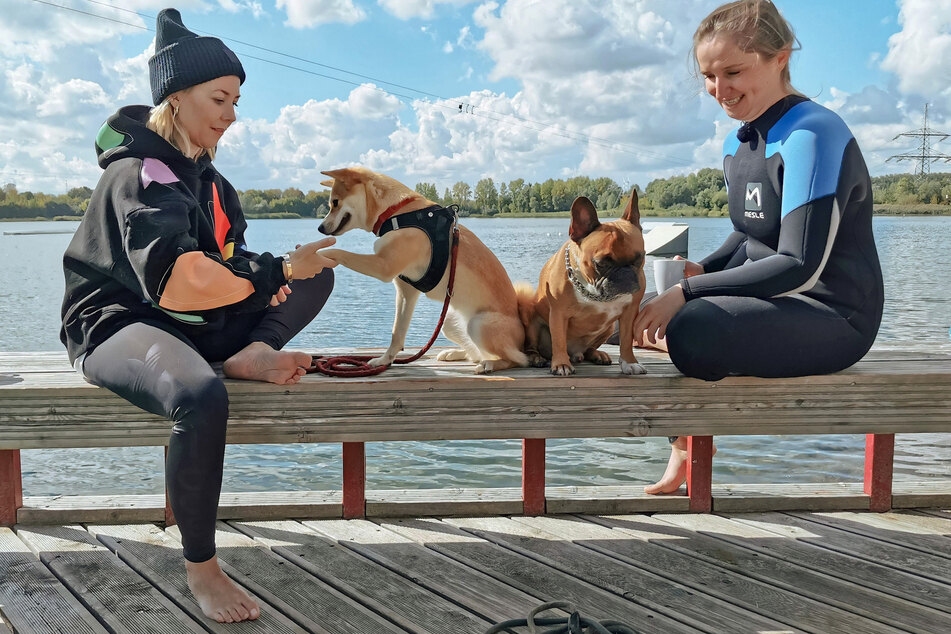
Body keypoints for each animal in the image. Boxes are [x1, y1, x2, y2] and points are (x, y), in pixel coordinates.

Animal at [318, 168, 528, 376]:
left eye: (335, 203)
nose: (320, 228)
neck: (396, 212)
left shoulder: (383, 266)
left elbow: (341, 253)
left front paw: (319, 254)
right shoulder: (406, 291)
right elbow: (397, 332)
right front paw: (385, 360)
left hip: (477, 324)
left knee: (516, 359)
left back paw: (489, 365)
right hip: (448, 322)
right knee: (476, 352)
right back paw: (454, 353)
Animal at [516, 189, 652, 376]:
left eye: (640, 258)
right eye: (601, 264)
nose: (624, 274)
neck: (593, 292)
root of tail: (575, 353)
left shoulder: (629, 313)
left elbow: (626, 340)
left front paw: (629, 362)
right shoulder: (558, 314)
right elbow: (559, 340)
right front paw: (561, 364)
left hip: (609, 328)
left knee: (589, 349)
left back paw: (597, 354)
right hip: (532, 322)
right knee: (533, 347)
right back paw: (537, 358)